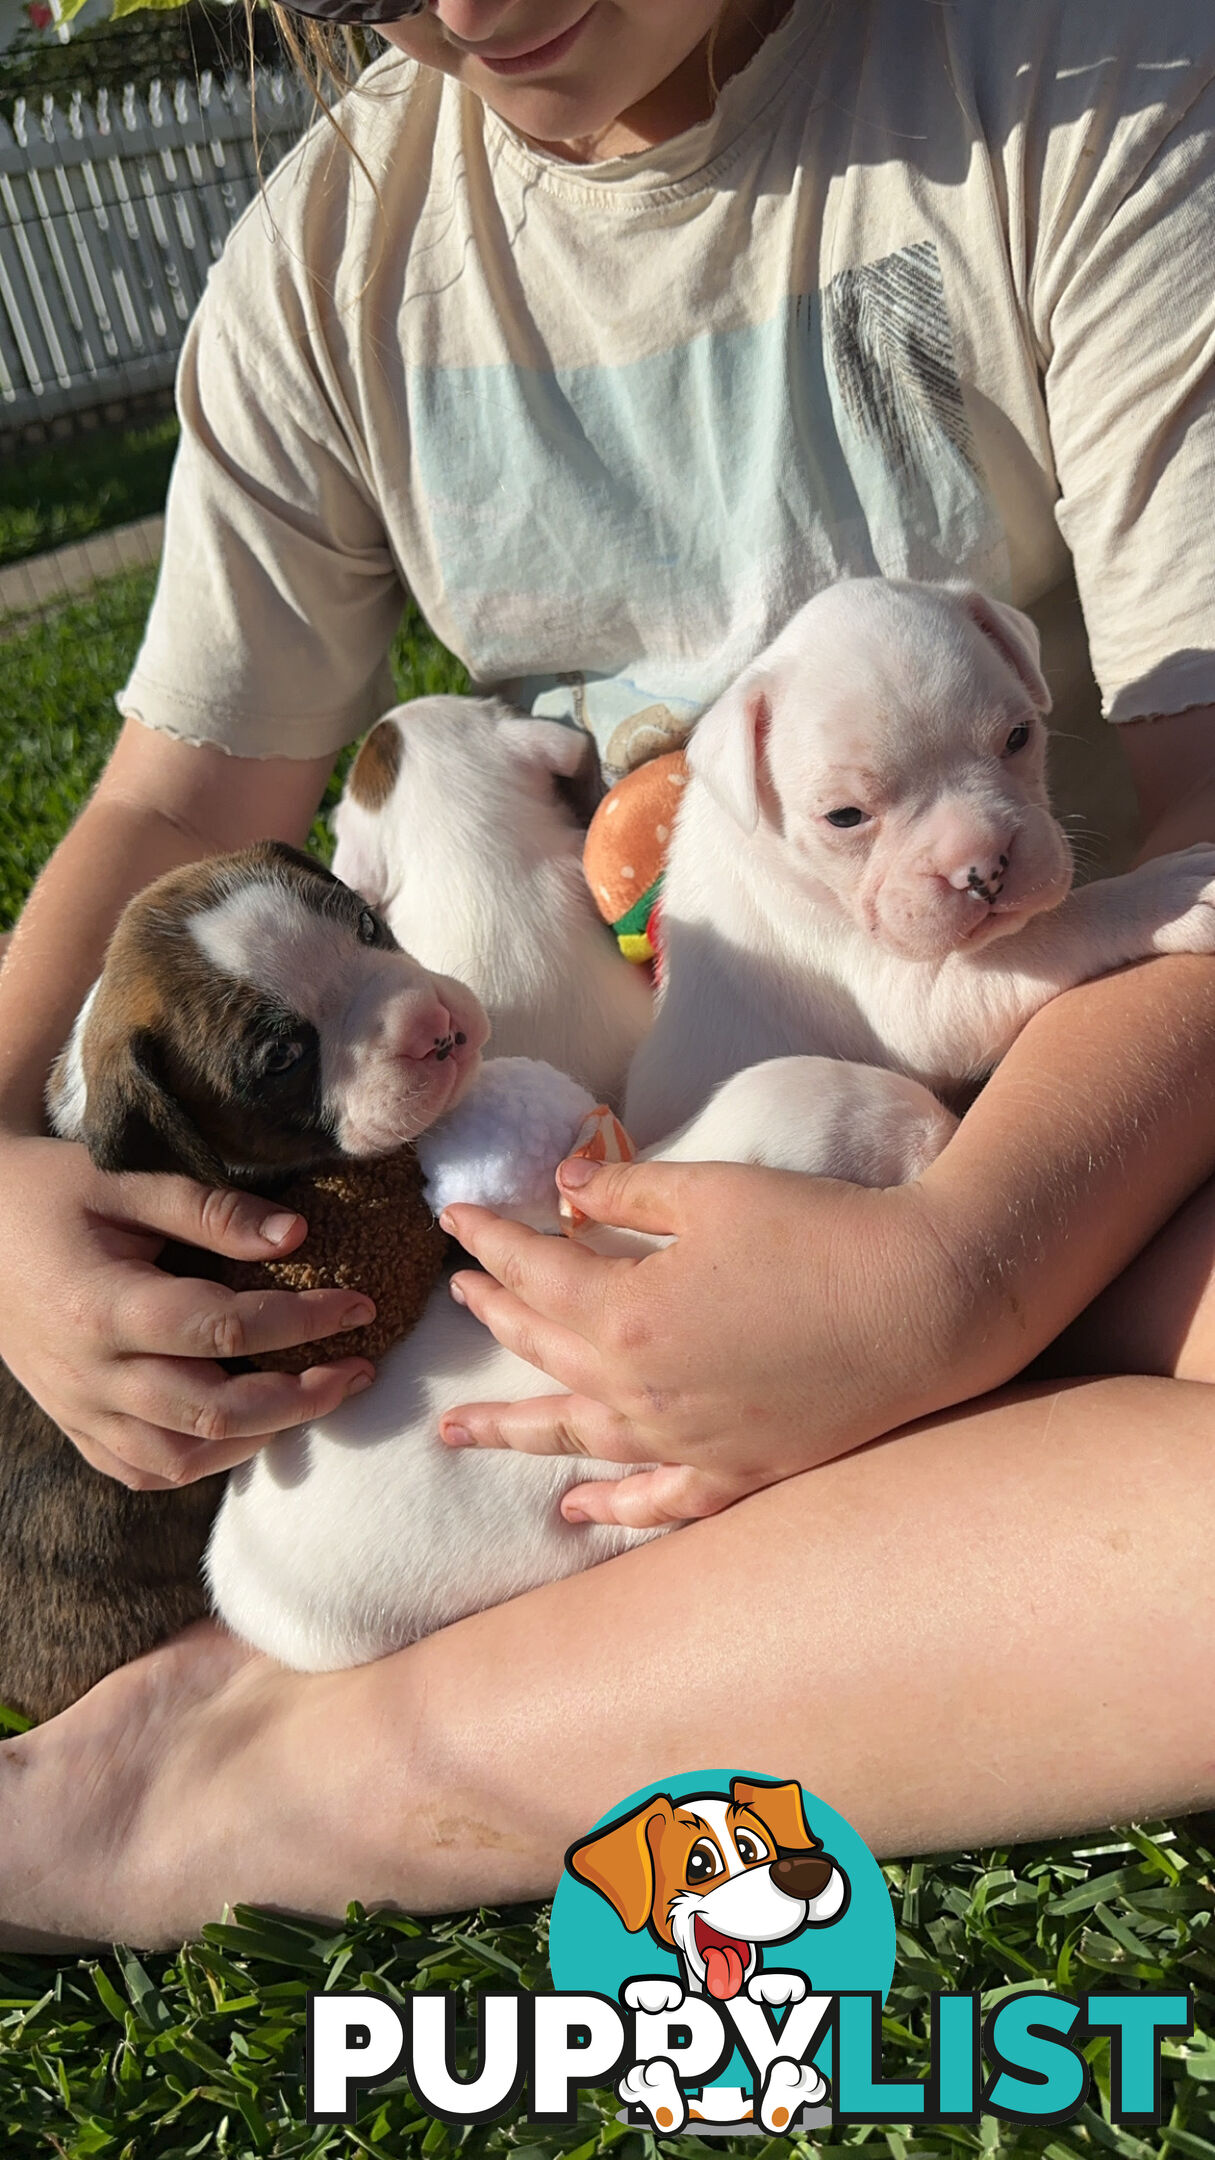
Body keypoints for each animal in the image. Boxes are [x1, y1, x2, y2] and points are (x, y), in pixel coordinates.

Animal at [618, 574, 1210, 1149]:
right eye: (845, 816)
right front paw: (1167, 896)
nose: (983, 865)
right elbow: (1057, 928)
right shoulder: (909, 1002)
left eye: (1018, 737)